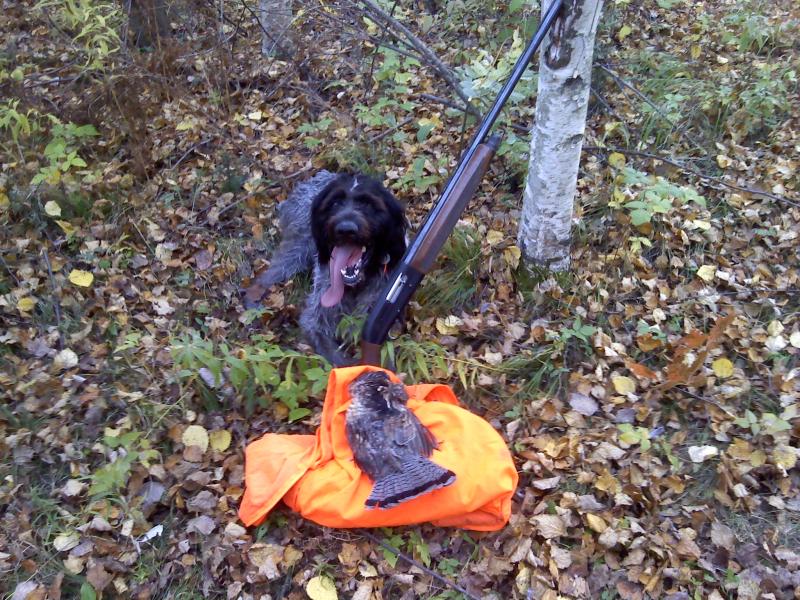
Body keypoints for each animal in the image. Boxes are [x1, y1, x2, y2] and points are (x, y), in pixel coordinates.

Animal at [242, 170, 406, 366]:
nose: (346, 229)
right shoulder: (315, 321)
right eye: (334, 203)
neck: (355, 285)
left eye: (368, 204)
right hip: (299, 249)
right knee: (266, 277)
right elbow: (337, 357)